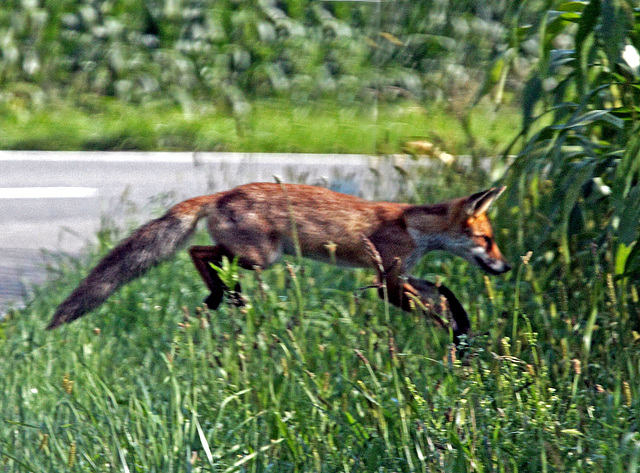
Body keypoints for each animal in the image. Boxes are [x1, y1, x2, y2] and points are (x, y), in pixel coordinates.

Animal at [46, 183, 510, 338]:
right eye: (486, 240)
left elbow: (441, 293)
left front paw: (461, 327)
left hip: (255, 259)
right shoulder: (386, 280)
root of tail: (223, 193)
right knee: (199, 252)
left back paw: (223, 296)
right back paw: (221, 294)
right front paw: (453, 336)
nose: (505, 267)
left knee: (207, 258)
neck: (412, 228)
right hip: (260, 257)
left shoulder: (404, 274)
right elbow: (430, 306)